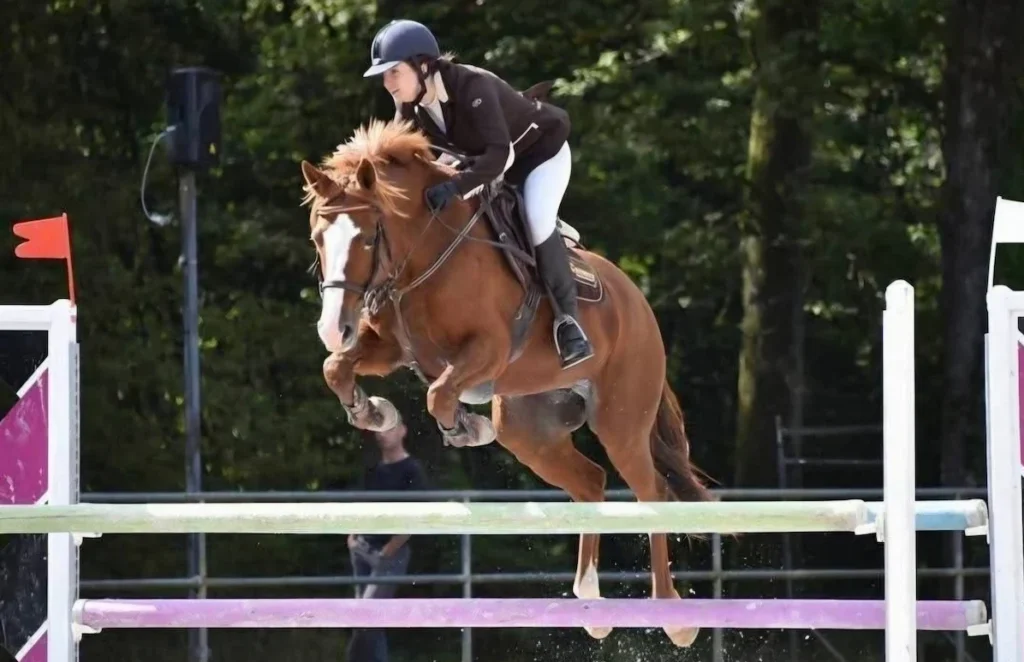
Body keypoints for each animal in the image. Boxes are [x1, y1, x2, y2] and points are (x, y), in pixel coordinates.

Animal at [300, 118, 715, 647]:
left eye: (369, 237)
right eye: (318, 237)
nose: (333, 327)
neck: (424, 254)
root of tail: (640, 305)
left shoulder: (487, 350)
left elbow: (439, 393)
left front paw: (465, 428)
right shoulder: (391, 348)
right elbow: (337, 368)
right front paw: (373, 412)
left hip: (621, 421)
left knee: (651, 490)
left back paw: (673, 615)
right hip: (528, 430)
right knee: (591, 481)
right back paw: (592, 604)